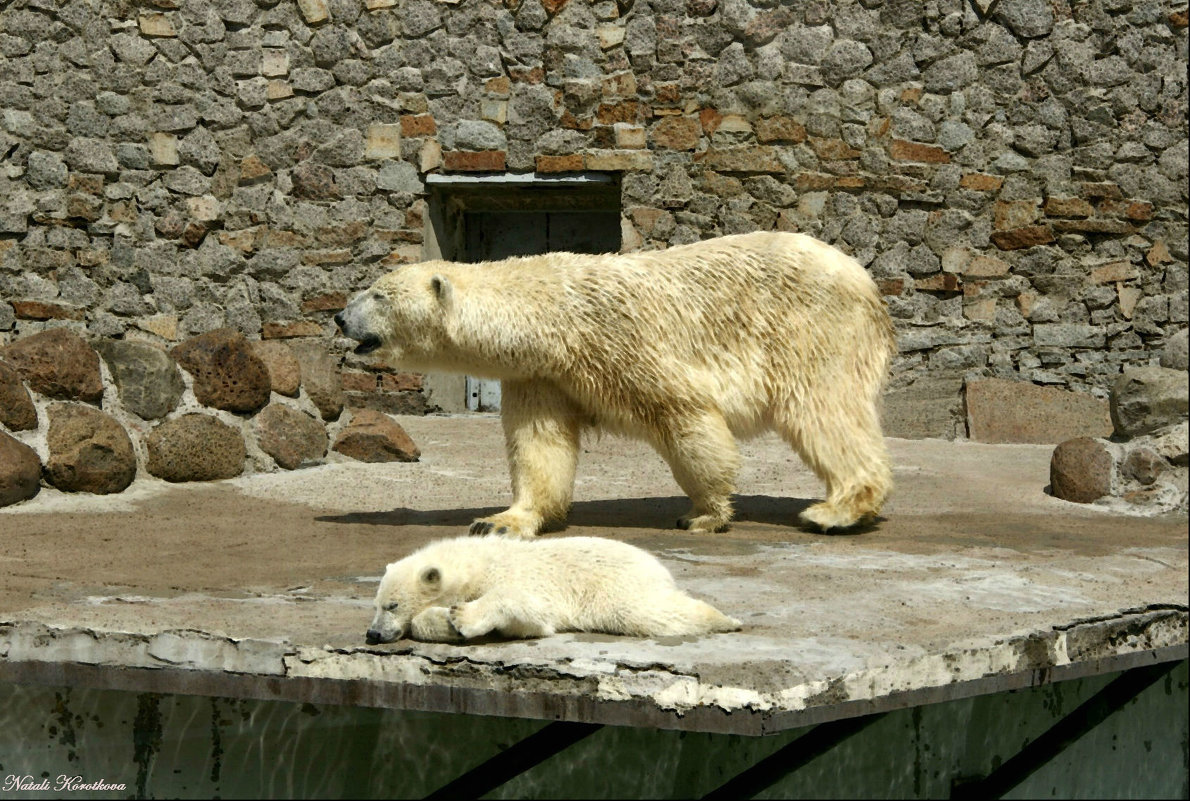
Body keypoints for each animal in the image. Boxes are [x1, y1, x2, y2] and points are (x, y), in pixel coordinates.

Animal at [335, 229, 894, 537]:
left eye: (378, 294)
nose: (340, 317)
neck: (553, 316)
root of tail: (866, 280)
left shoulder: (624, 344)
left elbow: (687, 418)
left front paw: (705, 513)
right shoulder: (541, 374)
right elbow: (540, 445)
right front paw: (499, 520)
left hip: (814, 330)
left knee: (823, 410)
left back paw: (835, 511)